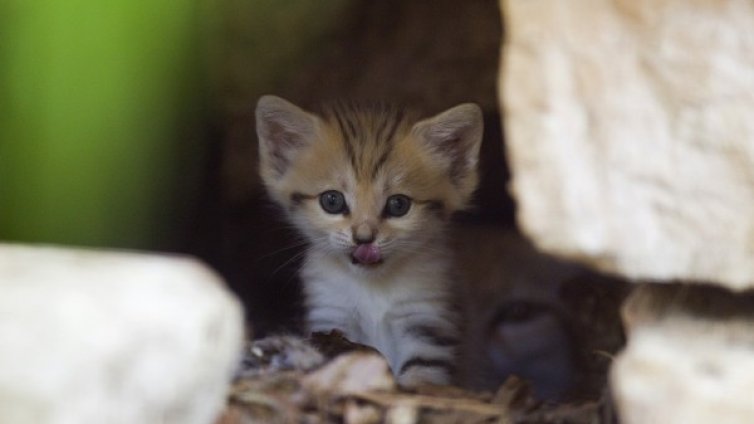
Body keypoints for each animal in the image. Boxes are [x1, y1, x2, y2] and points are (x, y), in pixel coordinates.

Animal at [254, 96, 482, 388]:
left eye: (398, 205)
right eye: (332, 201)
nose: (364, 237)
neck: (372, 286)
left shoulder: (427, 319)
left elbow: (423, 375)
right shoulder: (331, 315)